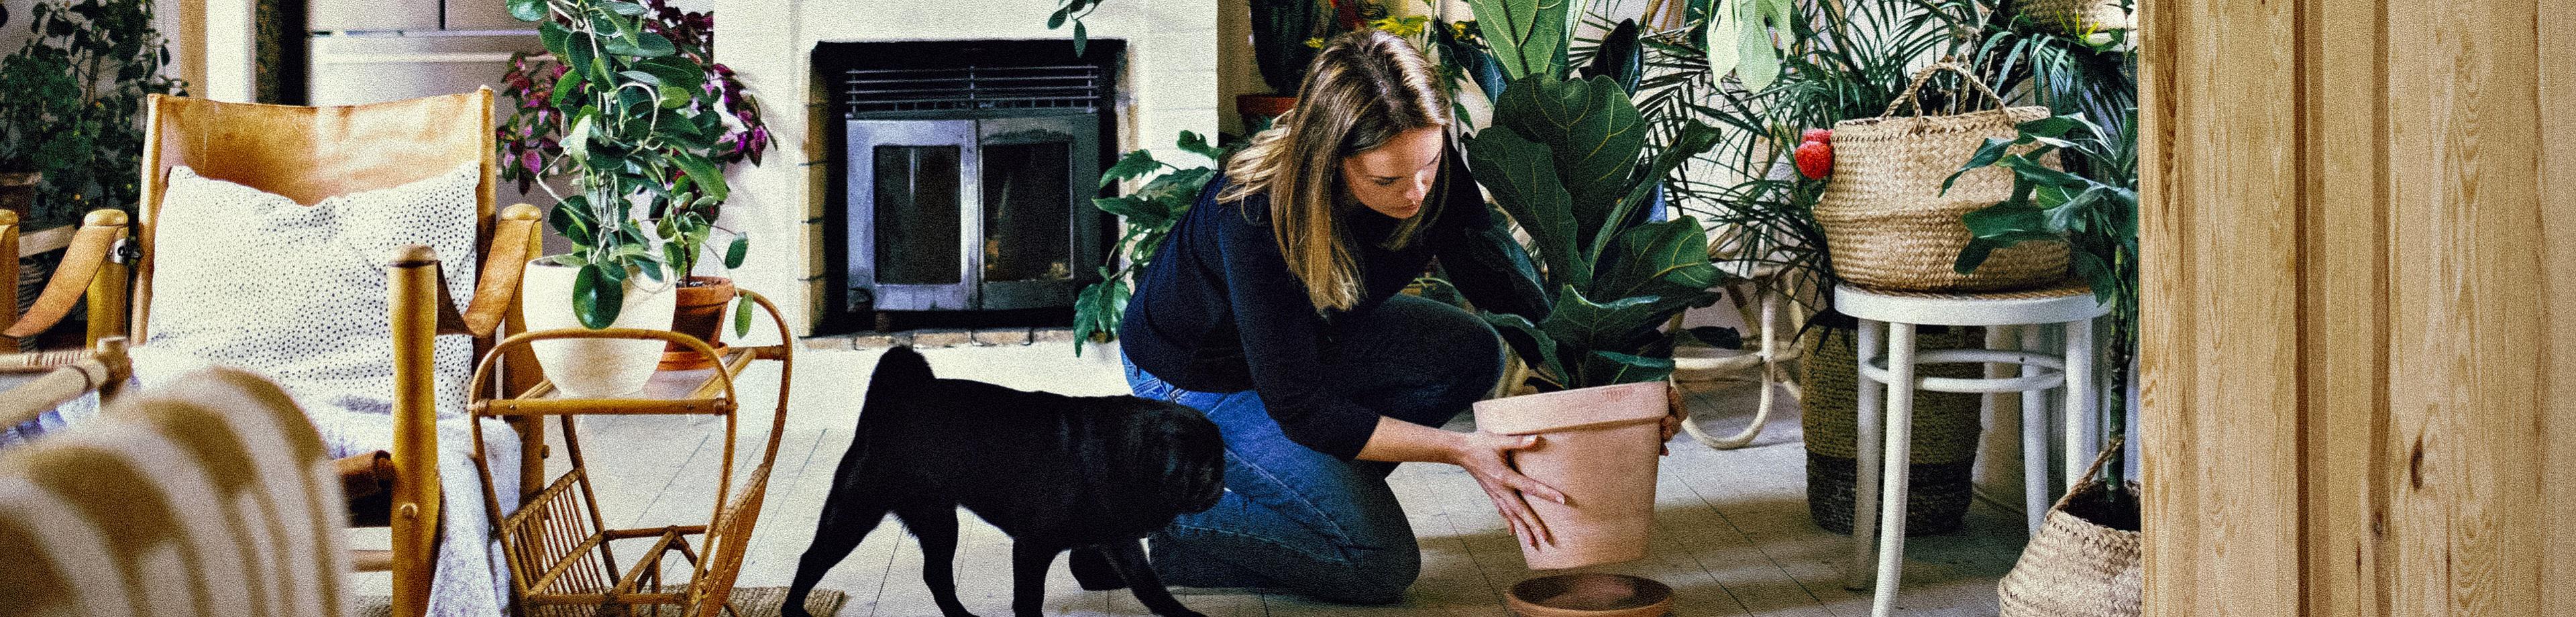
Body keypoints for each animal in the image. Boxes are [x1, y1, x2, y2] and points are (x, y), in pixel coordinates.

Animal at [783, 347, 1226, 617]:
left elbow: (1150, 587)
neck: (1124, 456)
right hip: (856, 511)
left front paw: (1182, 614)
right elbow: (1029, 599)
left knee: (937, 575)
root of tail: (891, 403)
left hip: (939, 521)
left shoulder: (1120, 543)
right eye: (1202, 469)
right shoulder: (1032, 547)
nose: (1219, 484)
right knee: (812, 560)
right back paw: (792, 610)